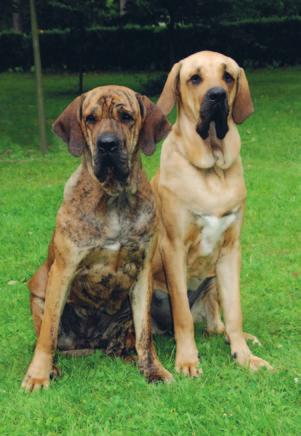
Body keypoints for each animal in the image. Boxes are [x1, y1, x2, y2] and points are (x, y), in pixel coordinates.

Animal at [22, 85, 172, 392]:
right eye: (90, 118)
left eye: (126, 116)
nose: (107, 144)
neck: (114, 197)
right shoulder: (63, 271)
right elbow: (48, 335)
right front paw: (38, 375)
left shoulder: (143, 274)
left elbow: (145, 335)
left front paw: (153, 369)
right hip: (38, 293)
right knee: (47, 334)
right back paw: (52, 367)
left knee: (129, 340)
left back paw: (129, 355)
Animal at [151, 51, 270, 376]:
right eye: (195, 78)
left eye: (228, 76)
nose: (217, 95)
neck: (213, 169)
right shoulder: (174, 248)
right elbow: (182, 315)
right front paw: (187, 360)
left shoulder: (230, 250)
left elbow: (235, 312)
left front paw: (244, 356)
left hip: (213, 279)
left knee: (219, 324)